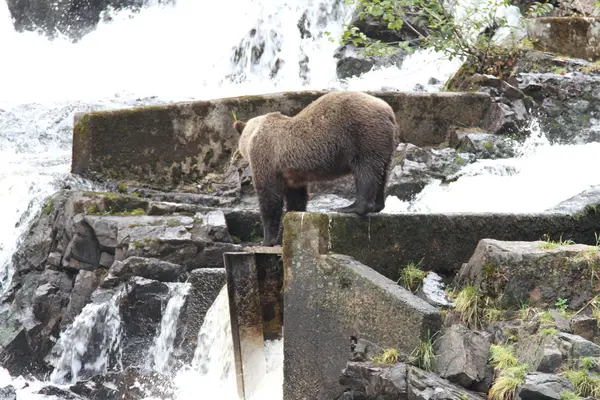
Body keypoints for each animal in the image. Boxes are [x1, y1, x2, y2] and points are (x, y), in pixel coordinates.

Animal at [234, 90, 398, 247]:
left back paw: (351, 207)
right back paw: (376, 204)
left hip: (362, 133)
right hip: (383, 143)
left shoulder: (267, 158)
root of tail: (388, 110)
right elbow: (296, 196)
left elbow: (270, 197)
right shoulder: (292, 174)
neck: (253, 135)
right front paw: (291, 219)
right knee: (382, 173)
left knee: (365, 171)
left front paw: (267, 240)